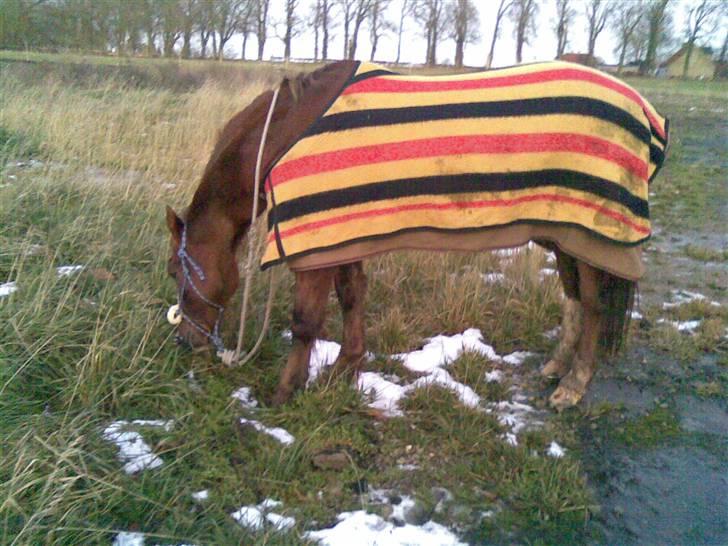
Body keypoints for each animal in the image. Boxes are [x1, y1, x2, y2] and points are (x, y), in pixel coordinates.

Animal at [164, 59, 664, 408]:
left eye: (175, 270)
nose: (186, 342)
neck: (285, 134)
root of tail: (644, 109)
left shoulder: (316, 250)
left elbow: (305, 322)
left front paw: (285, 393)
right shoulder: (341, 236)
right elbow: (352, 297)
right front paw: (345, 370)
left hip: (592, 235)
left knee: (595, 306)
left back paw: (572, 388)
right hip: (563, 234)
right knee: (574, 296)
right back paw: (555, 367)